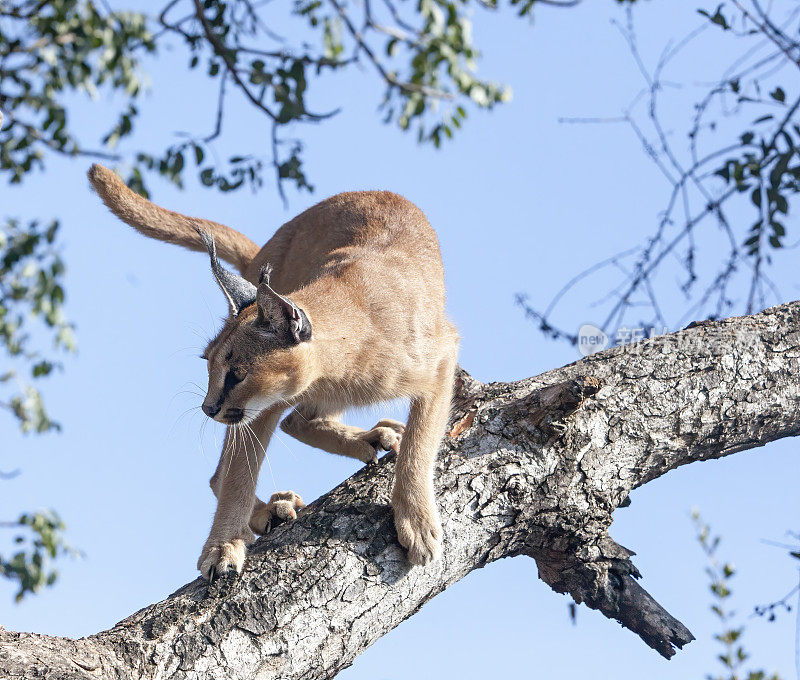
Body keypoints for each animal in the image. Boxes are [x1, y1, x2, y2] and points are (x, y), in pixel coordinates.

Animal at [88, 162, 460, 576]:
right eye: (207, 363)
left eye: (236, 373)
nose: (208, 408)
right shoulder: (260, 408)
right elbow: (237, 477)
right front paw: (222, 546)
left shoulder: (442, 357)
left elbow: (420, 443)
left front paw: (416, 520)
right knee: (233, 464)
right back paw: (276, 507)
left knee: (296, 422)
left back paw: (368, 438)